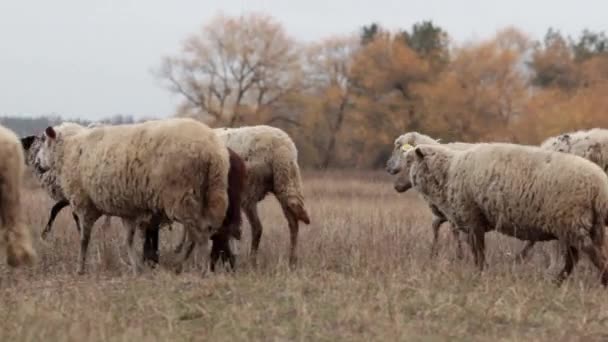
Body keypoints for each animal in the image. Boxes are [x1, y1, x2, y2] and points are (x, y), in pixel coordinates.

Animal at [34, 118, 232, 276]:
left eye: (43, 140)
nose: (36, 164)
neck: (69, 149)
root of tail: (212, 151)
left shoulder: (84, 204)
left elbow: (84, 240)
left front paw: (80, 269)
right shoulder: (127, 211)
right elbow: (128, 240)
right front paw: (137, 269)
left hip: (181, 197)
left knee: (197, 234)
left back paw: (199, 268)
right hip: (213, 195)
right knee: (204, 231)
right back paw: (187, 265)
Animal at [384, 131, 476, 260]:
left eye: (398, 147)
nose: (387, 166)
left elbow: (454, 232)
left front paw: (460, 256)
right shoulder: (443, 212)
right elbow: (436, 227)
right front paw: (433, 254)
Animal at [396, 142, 608, 286]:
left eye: (409, 161)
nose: (396, 185)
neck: (448, 172)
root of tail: (598, 185)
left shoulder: (473, 220)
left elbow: (478, 253)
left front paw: (479, 275)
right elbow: (477, 252)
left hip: (571, 222)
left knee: (590, 255)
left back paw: (599, 280)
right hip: (585, 226)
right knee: (579, 257)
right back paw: (558, 282)